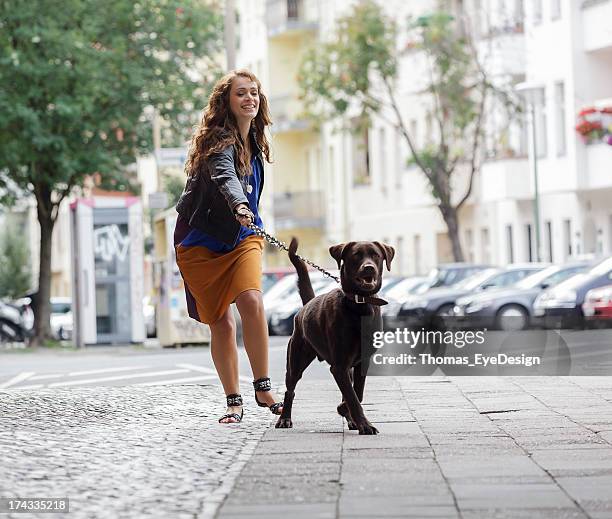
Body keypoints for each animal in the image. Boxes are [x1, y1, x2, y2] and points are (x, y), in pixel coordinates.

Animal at [274, 239, 394, 434]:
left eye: (376, 255)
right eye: (356, 255)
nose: (368, 267)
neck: (359, 303)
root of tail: (306, 305)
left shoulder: (360, 363)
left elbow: (356, 394)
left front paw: (348, 413)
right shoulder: (339, 366)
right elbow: (352, 397)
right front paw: (365, 425)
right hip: (296, 361)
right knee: (290, 390)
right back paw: (284, 419)